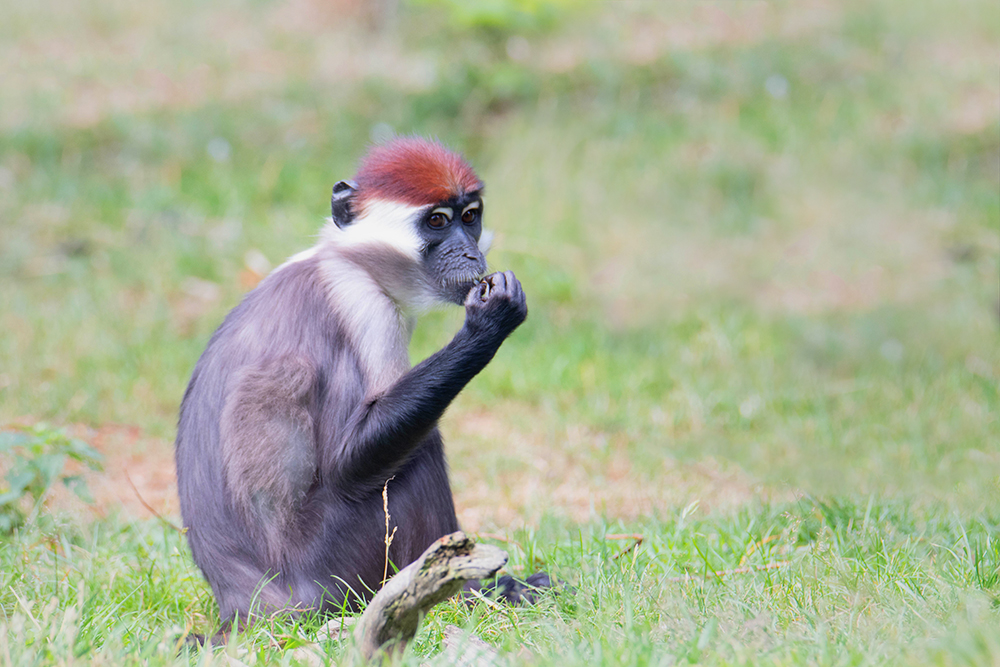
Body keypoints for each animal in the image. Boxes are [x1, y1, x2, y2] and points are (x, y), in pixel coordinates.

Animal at [176, 134, 544, 636]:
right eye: (437, 221)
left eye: (470, 217)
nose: (471, 254)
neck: (345, 260)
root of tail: (246, 605)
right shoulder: (365, 307)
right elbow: (347, 463)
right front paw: (488, 324)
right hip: (334, 566)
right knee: (419, 452)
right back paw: (468, 596)